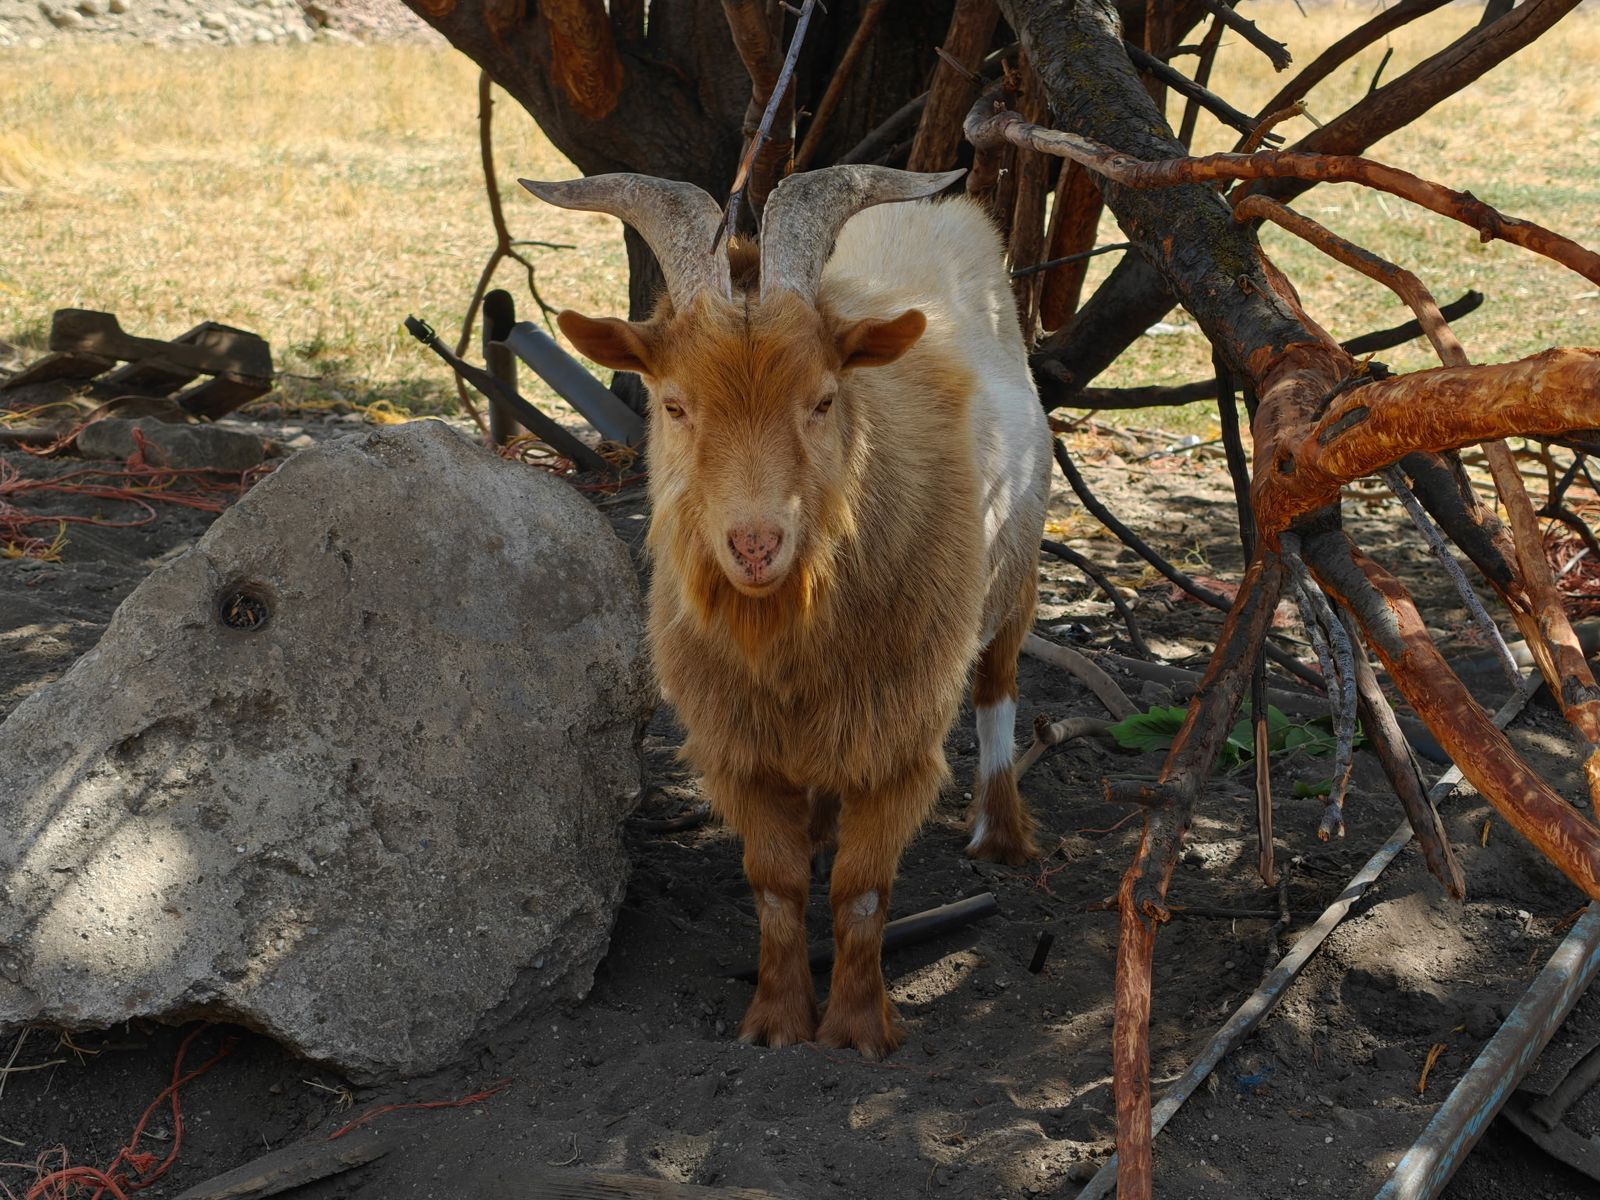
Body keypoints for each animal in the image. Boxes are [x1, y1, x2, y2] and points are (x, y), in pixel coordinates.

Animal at [521, 166, 1051, 1059]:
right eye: (673, 404)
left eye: (823, 400)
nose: (756, 543)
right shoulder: (739, 738)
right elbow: (774, 885)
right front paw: (774, 1023)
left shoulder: (901, 730)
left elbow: (862, 891)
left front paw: (857, 1031)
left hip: (1018, 572)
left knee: (999, 691)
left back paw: (1001, 832)